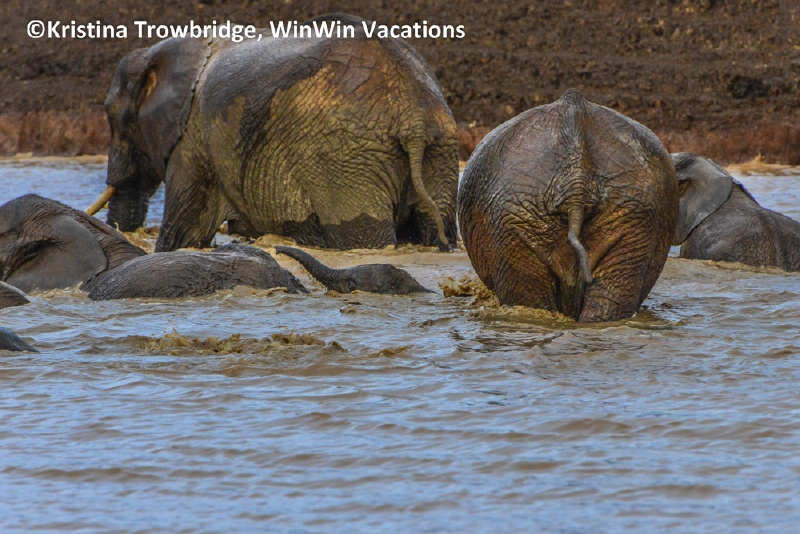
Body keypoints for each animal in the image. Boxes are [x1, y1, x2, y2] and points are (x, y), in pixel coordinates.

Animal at [95, 13, 459, 253]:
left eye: (113, 116)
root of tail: (415, 116)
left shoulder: (192, 141)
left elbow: (183, 235)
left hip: (345, 159)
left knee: (363, 236)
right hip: (439, 149)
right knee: (436, 224)